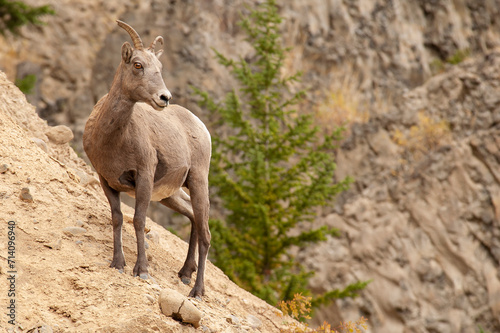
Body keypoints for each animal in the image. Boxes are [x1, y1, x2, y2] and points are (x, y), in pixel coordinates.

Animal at [83, 19, 211, 296]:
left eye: (159, 68)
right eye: (138, 65)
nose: (164, 98)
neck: (114, 140)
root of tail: (201, 126)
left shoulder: (143, 177)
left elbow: (139, 220)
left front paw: (141, 270)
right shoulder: (106, 180)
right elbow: (118, 218)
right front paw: (118, 264)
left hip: (198, 182)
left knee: (206, 232)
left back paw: (196, 291)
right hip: (170, 194)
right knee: (193, 217)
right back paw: (185, 274)